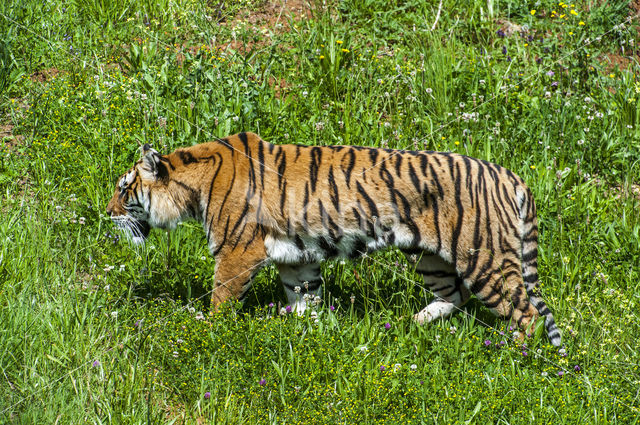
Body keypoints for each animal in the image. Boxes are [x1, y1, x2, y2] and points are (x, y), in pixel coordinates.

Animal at [107, 132, 564, 344]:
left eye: (124, 188)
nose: (107, 213)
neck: (192, 186)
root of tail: (510, 176)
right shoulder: (296, 258)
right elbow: (304, 297)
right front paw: (309, 330)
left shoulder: (237, 252)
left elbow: (221, 296)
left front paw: (207, 330)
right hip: (429, 255)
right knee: (455, 294)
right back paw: (410, 324)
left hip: (484, 257)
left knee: (525, 312)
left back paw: (508, 349)